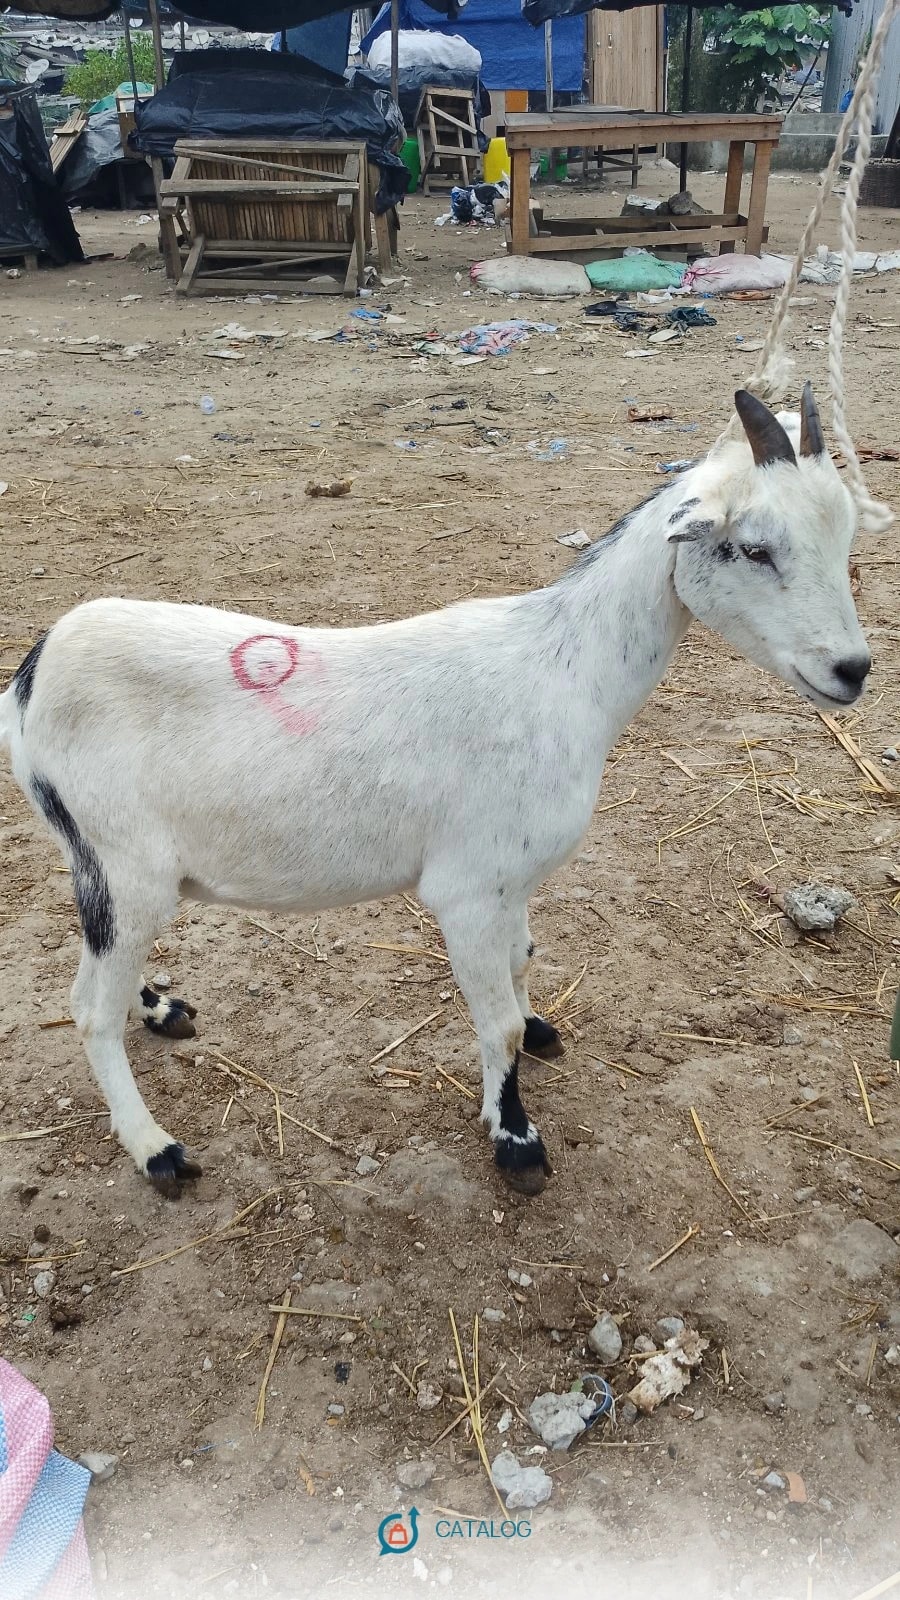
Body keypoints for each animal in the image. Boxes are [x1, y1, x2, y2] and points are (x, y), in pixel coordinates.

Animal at [0, 387, 870, 1200]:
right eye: (752, 548)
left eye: (845, 539)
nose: (853, 670)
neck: (565, 673)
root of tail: (33, 672)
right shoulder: (469, 887)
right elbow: (498, 1027)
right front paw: (516, 1140)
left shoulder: (512, 879)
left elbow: (522, 966)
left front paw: (541, 1031)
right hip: (124, 859)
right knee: (88, 1006)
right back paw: (156, 1148)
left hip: (101, 861)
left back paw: (159, 1007)